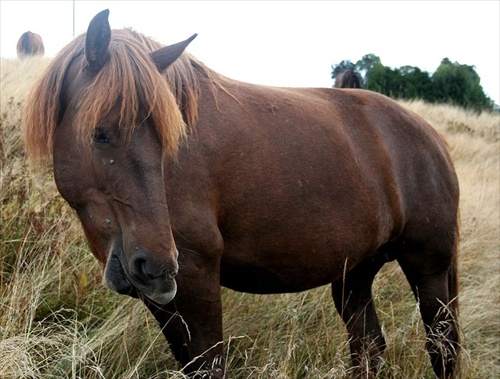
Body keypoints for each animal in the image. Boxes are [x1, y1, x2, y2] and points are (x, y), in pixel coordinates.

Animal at [23, 8, 460, 379]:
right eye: (100, 133)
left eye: (167, 140)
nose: (157, 266)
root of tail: (433, 137)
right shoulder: (164, 299)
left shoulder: (196, 277)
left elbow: (210, 365)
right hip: (354, 275)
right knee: (369, 348)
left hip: (429, 270)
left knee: (444, 349)